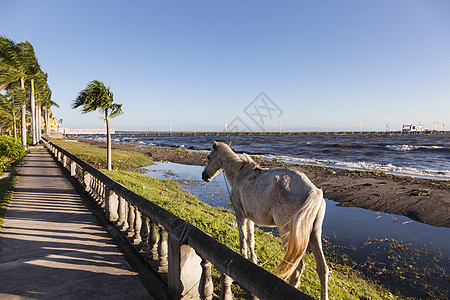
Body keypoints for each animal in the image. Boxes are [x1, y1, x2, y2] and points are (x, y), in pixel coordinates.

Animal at [202, 142, 328, 298]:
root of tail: (314, 191)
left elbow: (242, 241)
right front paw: (254, 261)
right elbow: (251, 240)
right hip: (314, 234)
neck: (240, 175)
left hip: (287, 232)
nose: (204, 176)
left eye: (208, 157)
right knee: (322, 268)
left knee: (296, 265)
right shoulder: (250, 218)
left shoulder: (240, 215)